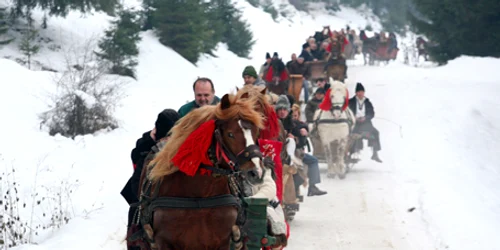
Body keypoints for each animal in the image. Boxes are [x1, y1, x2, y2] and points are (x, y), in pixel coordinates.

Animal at [131, 94, 268, 250]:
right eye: (230, 134)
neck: (200, 194)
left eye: (256, 132)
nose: (256, 172)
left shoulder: (221, 241)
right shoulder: (163, 242)